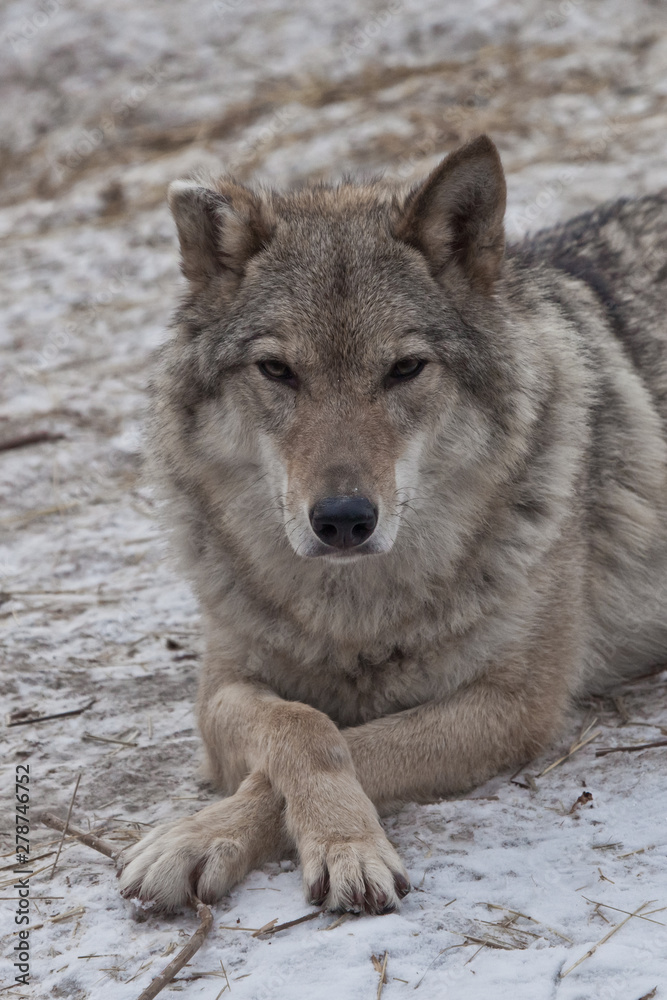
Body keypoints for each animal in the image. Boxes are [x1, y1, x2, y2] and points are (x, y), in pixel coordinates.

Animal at [118, 135, 667, 915]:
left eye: (405, 368)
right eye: (277, 370)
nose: (343, 519)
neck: (355, 616)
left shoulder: (514, 705)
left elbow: (354, 745)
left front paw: (341, 847)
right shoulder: (221, 687)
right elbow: (301, 727)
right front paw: (204, 836)